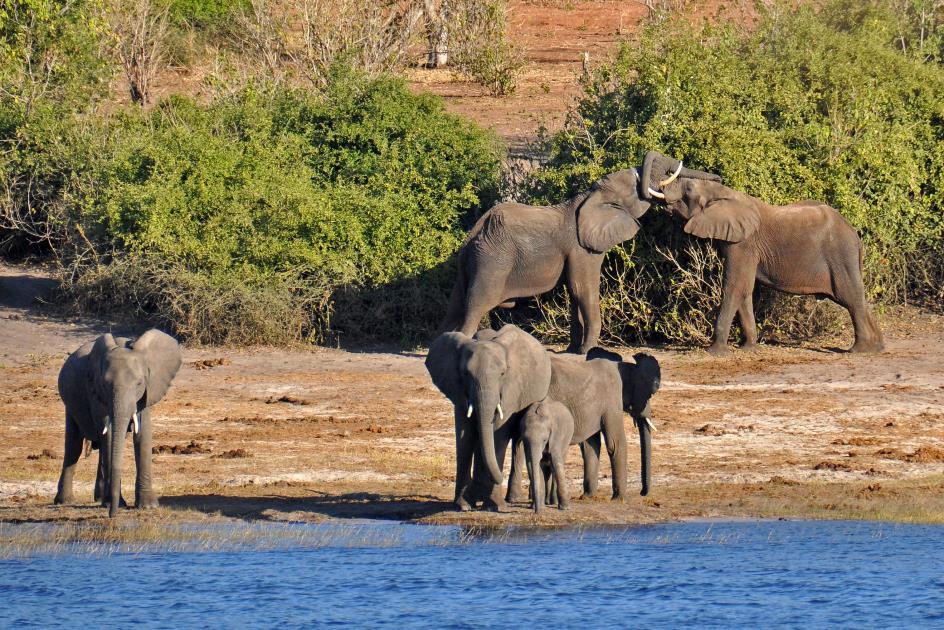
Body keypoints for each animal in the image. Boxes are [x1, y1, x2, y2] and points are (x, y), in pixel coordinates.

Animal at [54, 330, 183, 520]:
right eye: (105, 384)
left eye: (139, 383)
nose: (112, 516)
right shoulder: (96, 393)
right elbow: (108, 435)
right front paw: (115, 504)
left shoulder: (147, 392)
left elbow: (143, 435)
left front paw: (148, 506)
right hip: (70, 405)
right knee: (73, 447)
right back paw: (66, 501)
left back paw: (98, 498)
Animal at [424, 326, 548, 512]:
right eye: (465, 374)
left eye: (503, 373)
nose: (499, 478)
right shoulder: (458, 389)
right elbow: (465, 436)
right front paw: (463, 505)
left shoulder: (510, 390)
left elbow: (497, 434)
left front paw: (496, 506)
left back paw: (506, 499)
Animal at [440, 158, 716, 356]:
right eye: (634, 186)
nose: (719, 178)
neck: (590, 197)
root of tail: (474, 233)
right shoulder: (582, 248)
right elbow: (583, 289)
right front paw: (588, 351)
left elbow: (574, 294)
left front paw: (573, 350)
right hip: (492, 261)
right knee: (476, 306)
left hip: (471, 262)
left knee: (456, 304)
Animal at [506, 350, 660, 504]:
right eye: (650, 394)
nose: (642, 493)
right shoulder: (611, 400)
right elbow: (615, 443)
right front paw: (620, 500)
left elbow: (590, 446)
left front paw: (588, 496)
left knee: (519, 442)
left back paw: (518, 498)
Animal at [644, 149, 880, 356]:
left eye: (689, 190)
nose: (718, 175)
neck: (726, 195)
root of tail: (854, 233)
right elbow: (745, 290)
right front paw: (747, 348)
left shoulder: (744, 243)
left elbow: (734, 286)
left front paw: (715, 352)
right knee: (858, 297)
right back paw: (878, 346)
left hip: (841, 255)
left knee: (850, 297)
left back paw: (859, 350)